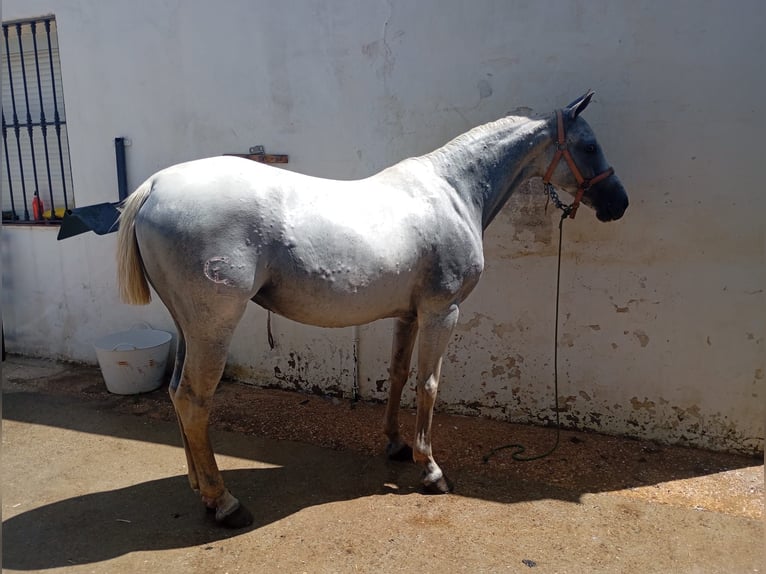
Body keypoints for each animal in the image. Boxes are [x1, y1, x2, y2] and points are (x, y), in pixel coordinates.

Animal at [116, 91, 628, 528]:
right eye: (588, 145)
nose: (618, 203)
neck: (454, 191)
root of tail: (155, 186)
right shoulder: (442, 312)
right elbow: (429, 385)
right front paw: (431, 470)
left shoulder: (409, 314)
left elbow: (398, 375)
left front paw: (397, 445)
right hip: (213, 327)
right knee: (194, 399)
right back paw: (224, 503)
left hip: (188, 326)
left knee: (177, 393)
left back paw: (199, 488)